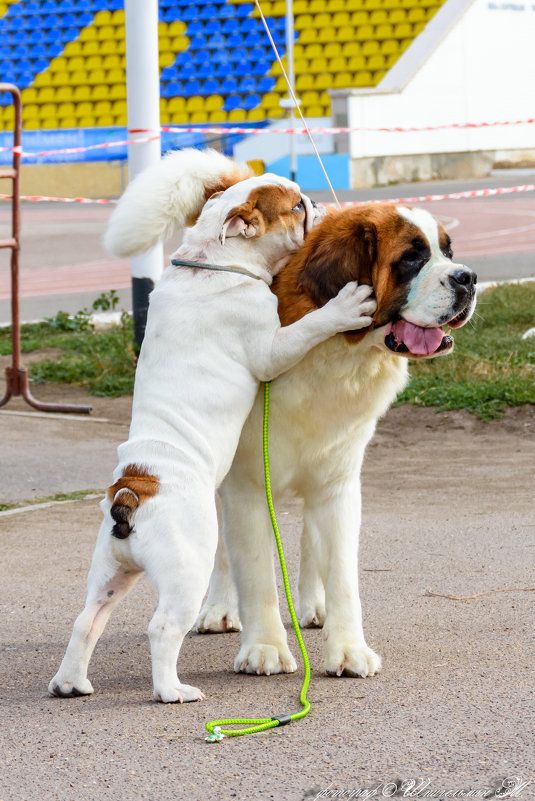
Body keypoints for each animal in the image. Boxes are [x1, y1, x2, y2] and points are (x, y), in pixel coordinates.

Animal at [49, 148, 376, 700]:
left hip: (111, 572)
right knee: (162, 627)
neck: (214, 261)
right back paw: (172, 691)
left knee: (86, 620)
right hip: (189, 568)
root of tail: (132, 490)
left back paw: (70, 682)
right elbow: (309, 327)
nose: (316, 202)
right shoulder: (271, 346)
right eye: (295, 206)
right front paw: (343, 307)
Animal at [197, 198, 478, 676]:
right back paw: (219, 609)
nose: (469, 277)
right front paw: (265, 648)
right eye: (412, 258)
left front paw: (348, 648)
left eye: (448, 251)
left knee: (311, 541)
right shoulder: (246, 487)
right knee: (222, 550)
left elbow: (343, 572)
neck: (335, 353)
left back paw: (315, 606)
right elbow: (254, 571)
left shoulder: (339, 483)